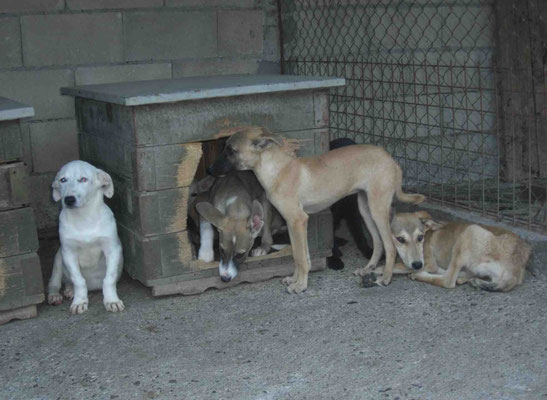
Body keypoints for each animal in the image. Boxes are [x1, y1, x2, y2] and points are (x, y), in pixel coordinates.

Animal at [46, 161, 124, 314]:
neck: (84, 218)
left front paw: (111, 300)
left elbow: (109, 278)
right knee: (54, 283)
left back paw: (69, 290)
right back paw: (57, 295)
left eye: (83, 179)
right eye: (63, 180)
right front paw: (80, 302)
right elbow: (78, 280)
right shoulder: (68, 253)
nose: (69, 200)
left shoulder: (112, 249)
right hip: (58, 260)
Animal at [208, 126, 426, 292]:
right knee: (378, 243)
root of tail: (391, 159)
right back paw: (367, 269)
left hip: (377, 208)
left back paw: (386, 277)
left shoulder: (297, 220)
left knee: (390, 245)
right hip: (365, 208)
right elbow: (302, 256)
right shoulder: (297, 223)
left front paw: (300, 286)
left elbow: (299, 257)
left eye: (231, 150)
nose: (209, 171)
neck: (278, 170)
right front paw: (296, 280)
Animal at [368, 211, 532, 292]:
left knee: (448, 281)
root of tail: (515, 266)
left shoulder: (428, 262)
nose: (417, 265)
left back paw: (419, 275)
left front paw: (375, 272)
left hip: (469, 232)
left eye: (420, 237)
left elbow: (391, 266)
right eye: (400, 239)